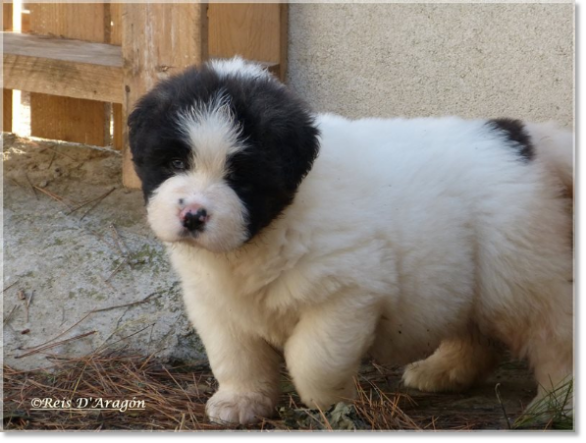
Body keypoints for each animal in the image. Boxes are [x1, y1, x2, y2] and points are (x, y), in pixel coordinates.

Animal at [128, 57, 572, 424]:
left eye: (239, 176)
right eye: (175, 162)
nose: (193, 215)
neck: (266, 233)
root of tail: (526, 138)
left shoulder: (345, 293)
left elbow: (311, 357)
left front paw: (330, 403)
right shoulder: (217, 304)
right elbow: (236, 357)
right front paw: (241, 401)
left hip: (519, 273)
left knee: (554, 336)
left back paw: (555, 404)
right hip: (468, 274)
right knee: (475, 332)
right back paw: (440, 370)